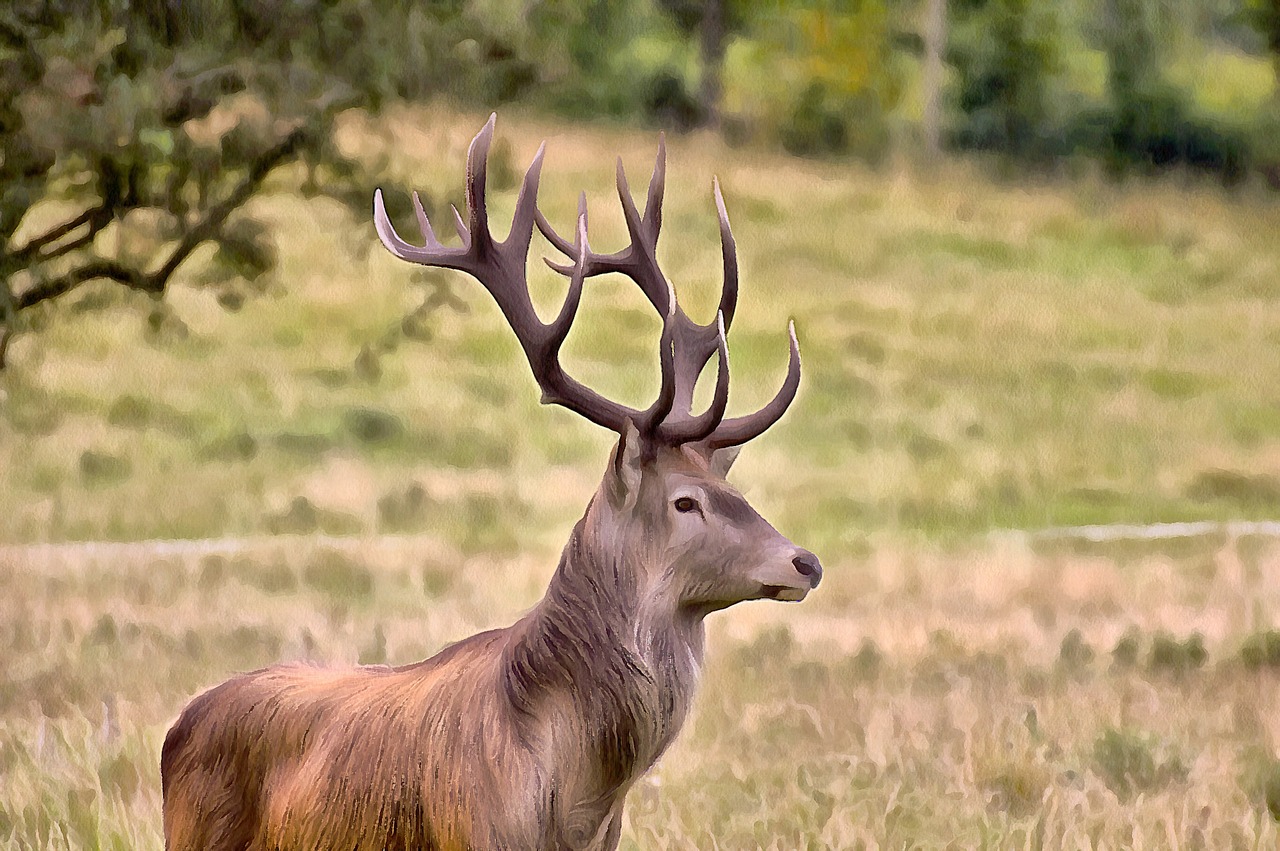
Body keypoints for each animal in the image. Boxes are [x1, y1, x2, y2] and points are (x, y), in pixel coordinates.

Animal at [162, 114, 819, 849]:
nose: (805, 562)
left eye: (739, 491)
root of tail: (177, 725)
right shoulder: (471, 833)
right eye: (685, 501)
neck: (576, 803)